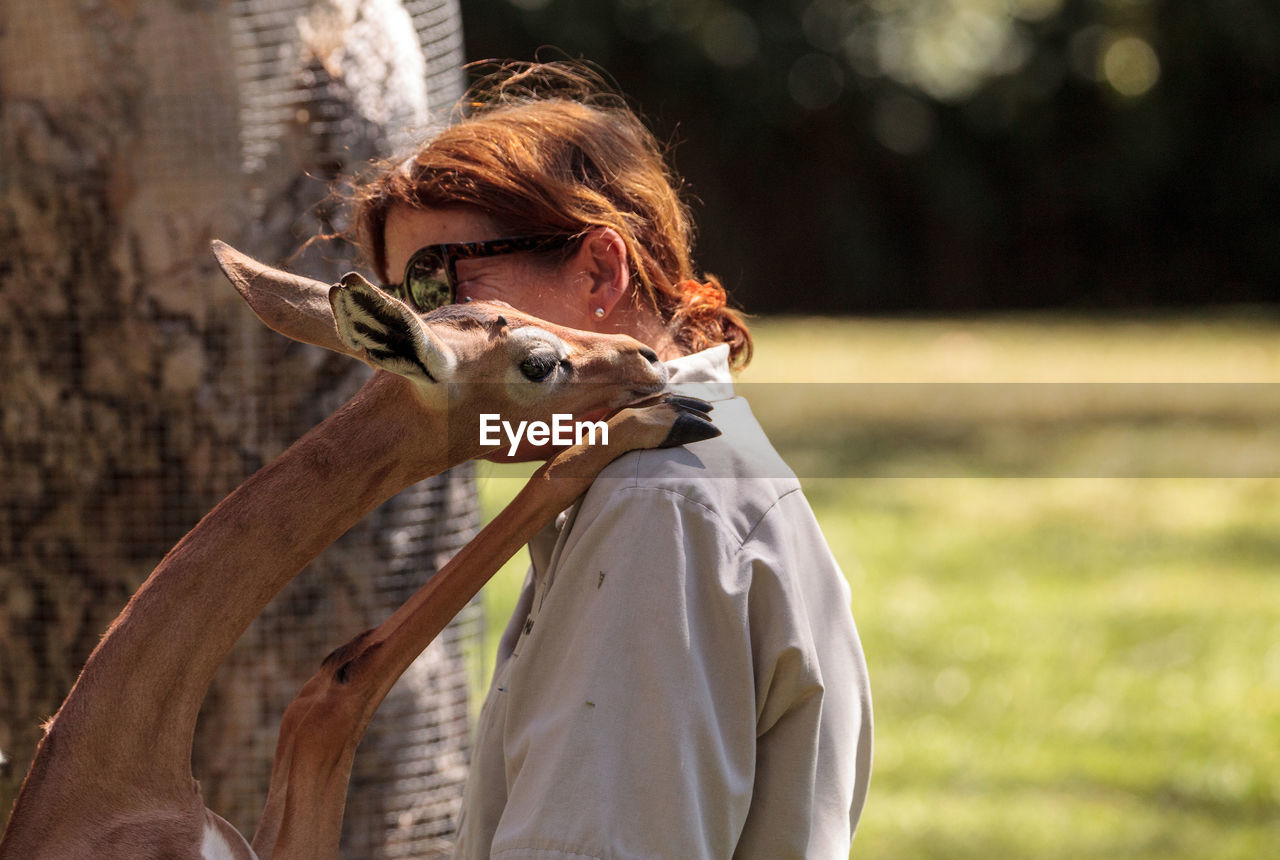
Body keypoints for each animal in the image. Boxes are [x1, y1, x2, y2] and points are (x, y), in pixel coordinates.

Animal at [0, 243, 716, 860]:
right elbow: (338, 689)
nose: (645, 357)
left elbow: (329, 689)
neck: (115, 784)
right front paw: (664, 417)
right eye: (537, 362)